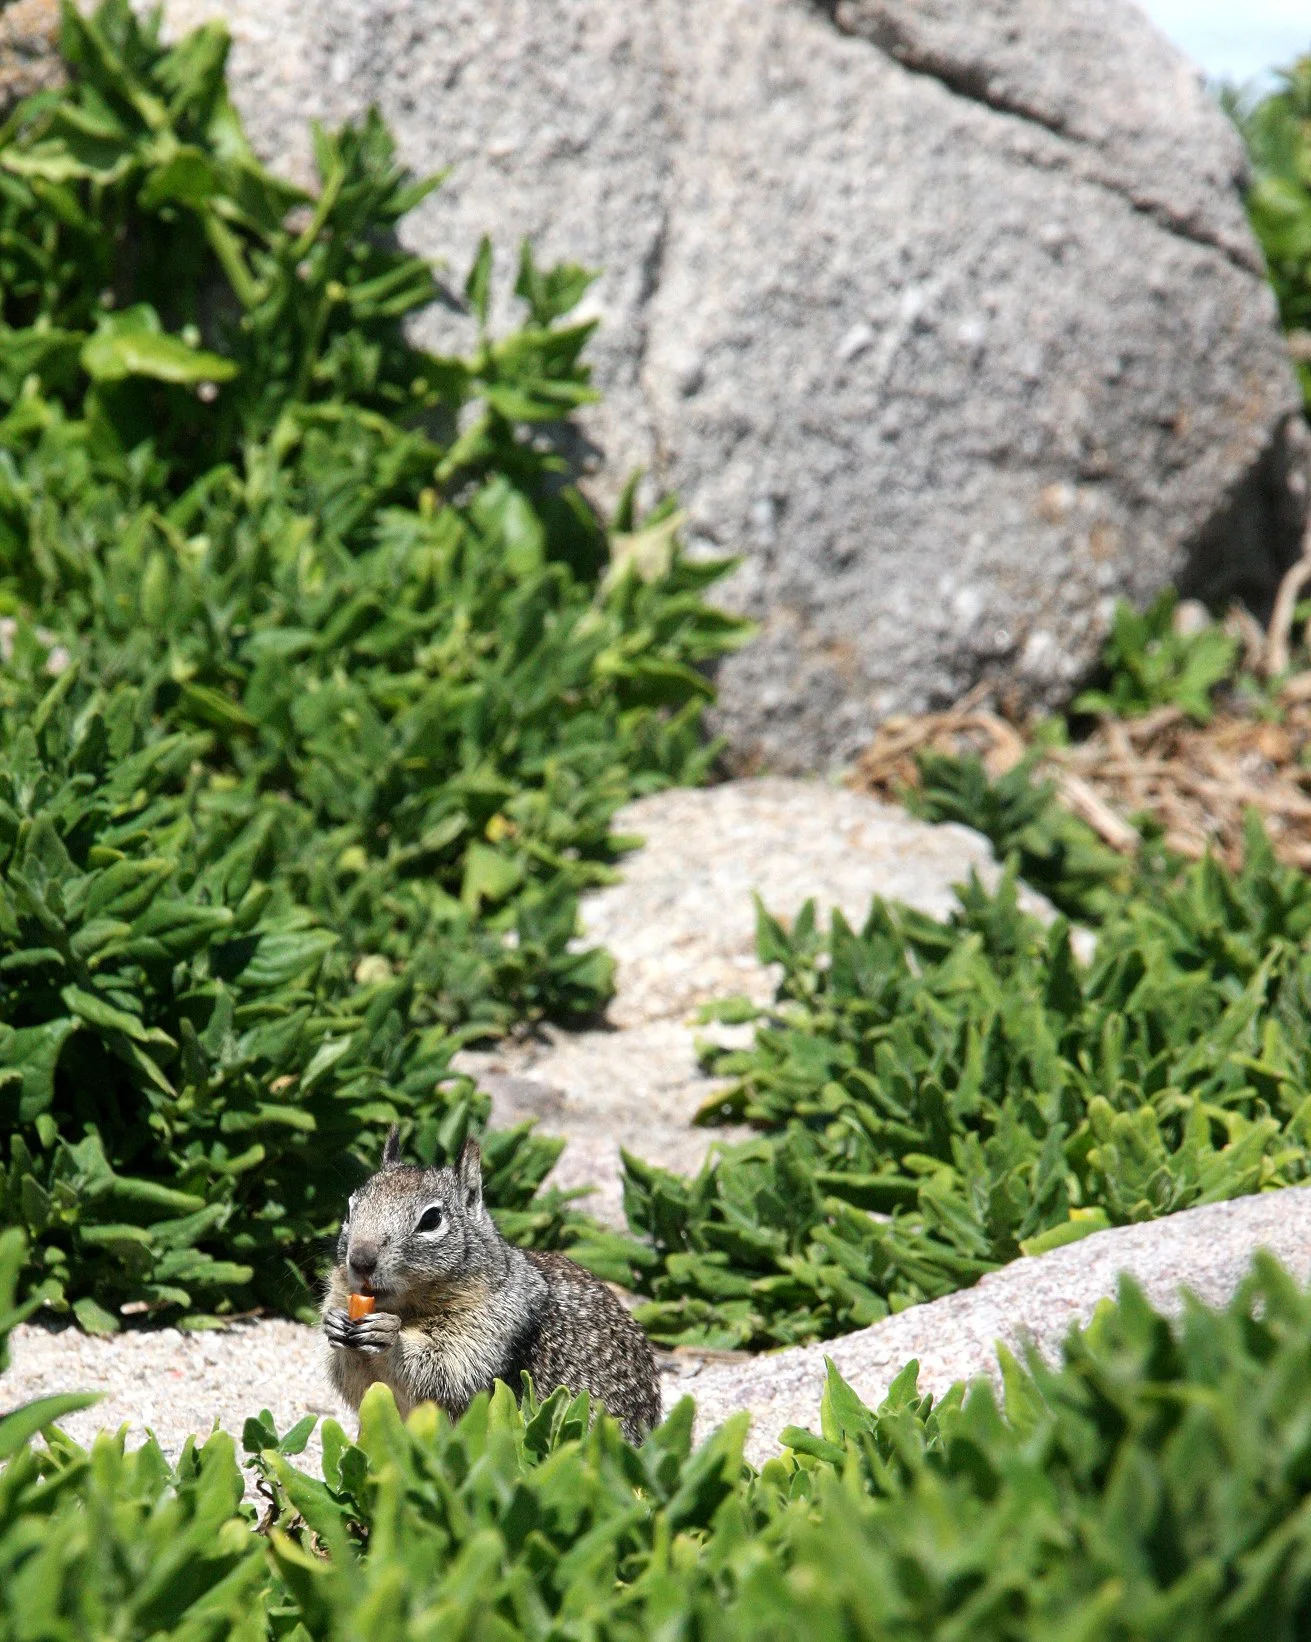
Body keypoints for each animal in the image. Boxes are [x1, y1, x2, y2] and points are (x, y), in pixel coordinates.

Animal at [322, 1126, 661, 1444]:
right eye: (351, 1208)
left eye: (431, 1220)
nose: (361, 1260)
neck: (405, 1307)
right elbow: (357, 1384)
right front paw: (333, 1324)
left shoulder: (491, 1329)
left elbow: (446, 1373)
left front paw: (389, 1335)